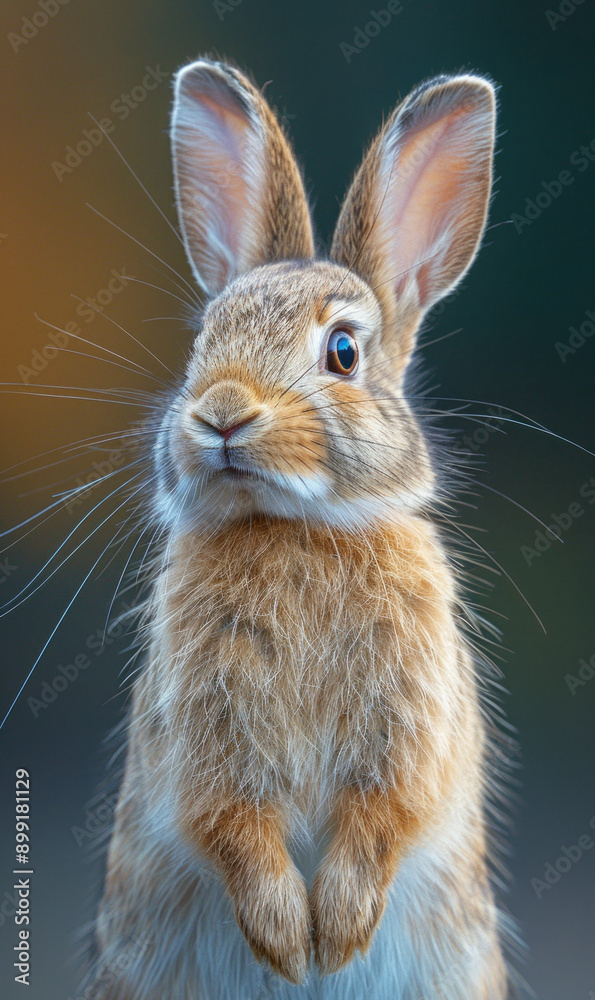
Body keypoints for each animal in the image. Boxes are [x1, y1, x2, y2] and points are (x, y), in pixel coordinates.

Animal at [90, 57, 515, 1000]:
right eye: (202, 343)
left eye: (343, 353)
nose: (220, 412)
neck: (294, 525)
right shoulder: (203, 739)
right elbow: (232, 824)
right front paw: (291, 943)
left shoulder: (409, 729)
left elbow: (385, 811)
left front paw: (337, 936)